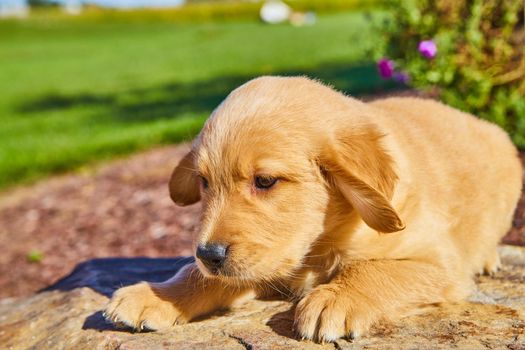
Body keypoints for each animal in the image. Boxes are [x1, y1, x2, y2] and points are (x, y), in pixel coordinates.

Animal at [104, 76, 520, 342]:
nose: (209, 253)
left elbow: (377, 269)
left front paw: (336, 297)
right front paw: (159, 295)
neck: (319, 244)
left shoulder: (440, 260)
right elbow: (199, 274)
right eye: (204, 182)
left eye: (265, 181)